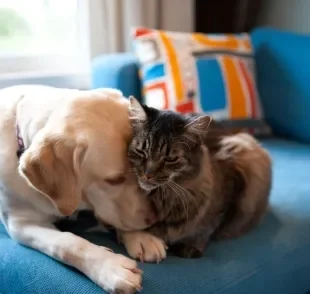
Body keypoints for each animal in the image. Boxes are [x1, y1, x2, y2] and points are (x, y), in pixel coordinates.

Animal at [0, 85, 159, 294]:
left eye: (140, 170)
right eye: (114, 180)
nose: (153, 219)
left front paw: (141, 237)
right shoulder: (20, 224)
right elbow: (66, 242)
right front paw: (109, 267)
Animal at [121, 98, 272, 260]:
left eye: (170, 159)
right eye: (141, 151)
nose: (148, 174)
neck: (164, 198)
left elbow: (208, 226)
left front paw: (192, 245)